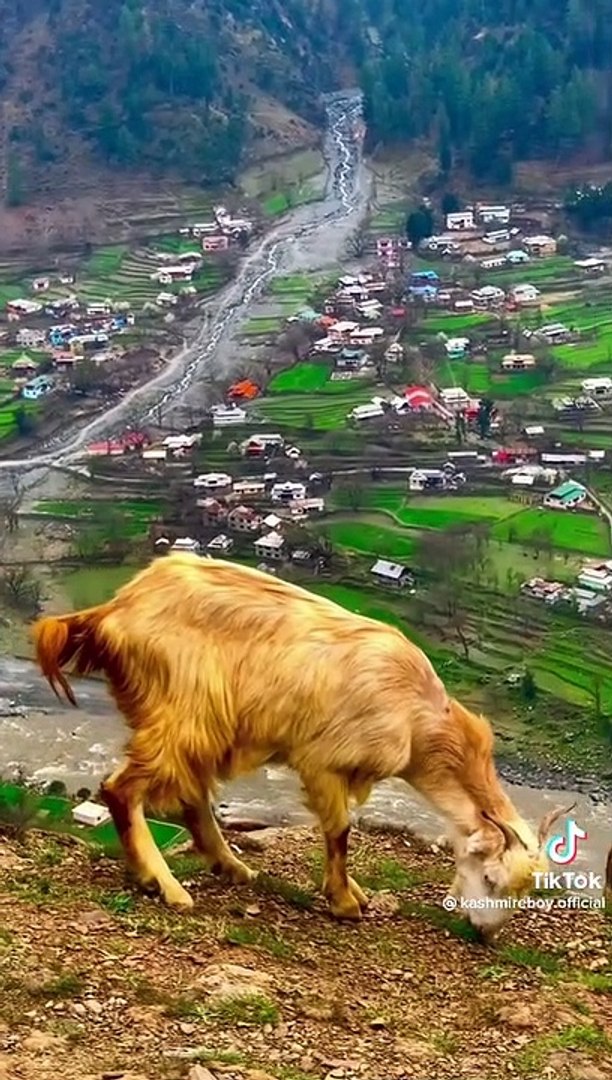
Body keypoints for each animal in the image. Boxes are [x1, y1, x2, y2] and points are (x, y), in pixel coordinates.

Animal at [33, 553, 569, 938]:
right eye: (491, 879)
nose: (484, 933)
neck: (418, 718)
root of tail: (115, 610)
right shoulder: (325, 761)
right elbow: (340, 831)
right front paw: (345, 901)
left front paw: (353, 892)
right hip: (183, 713)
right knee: (122, 788)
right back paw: (163, 884)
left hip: (201, 725)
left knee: (191, 796)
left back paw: (231, 866)